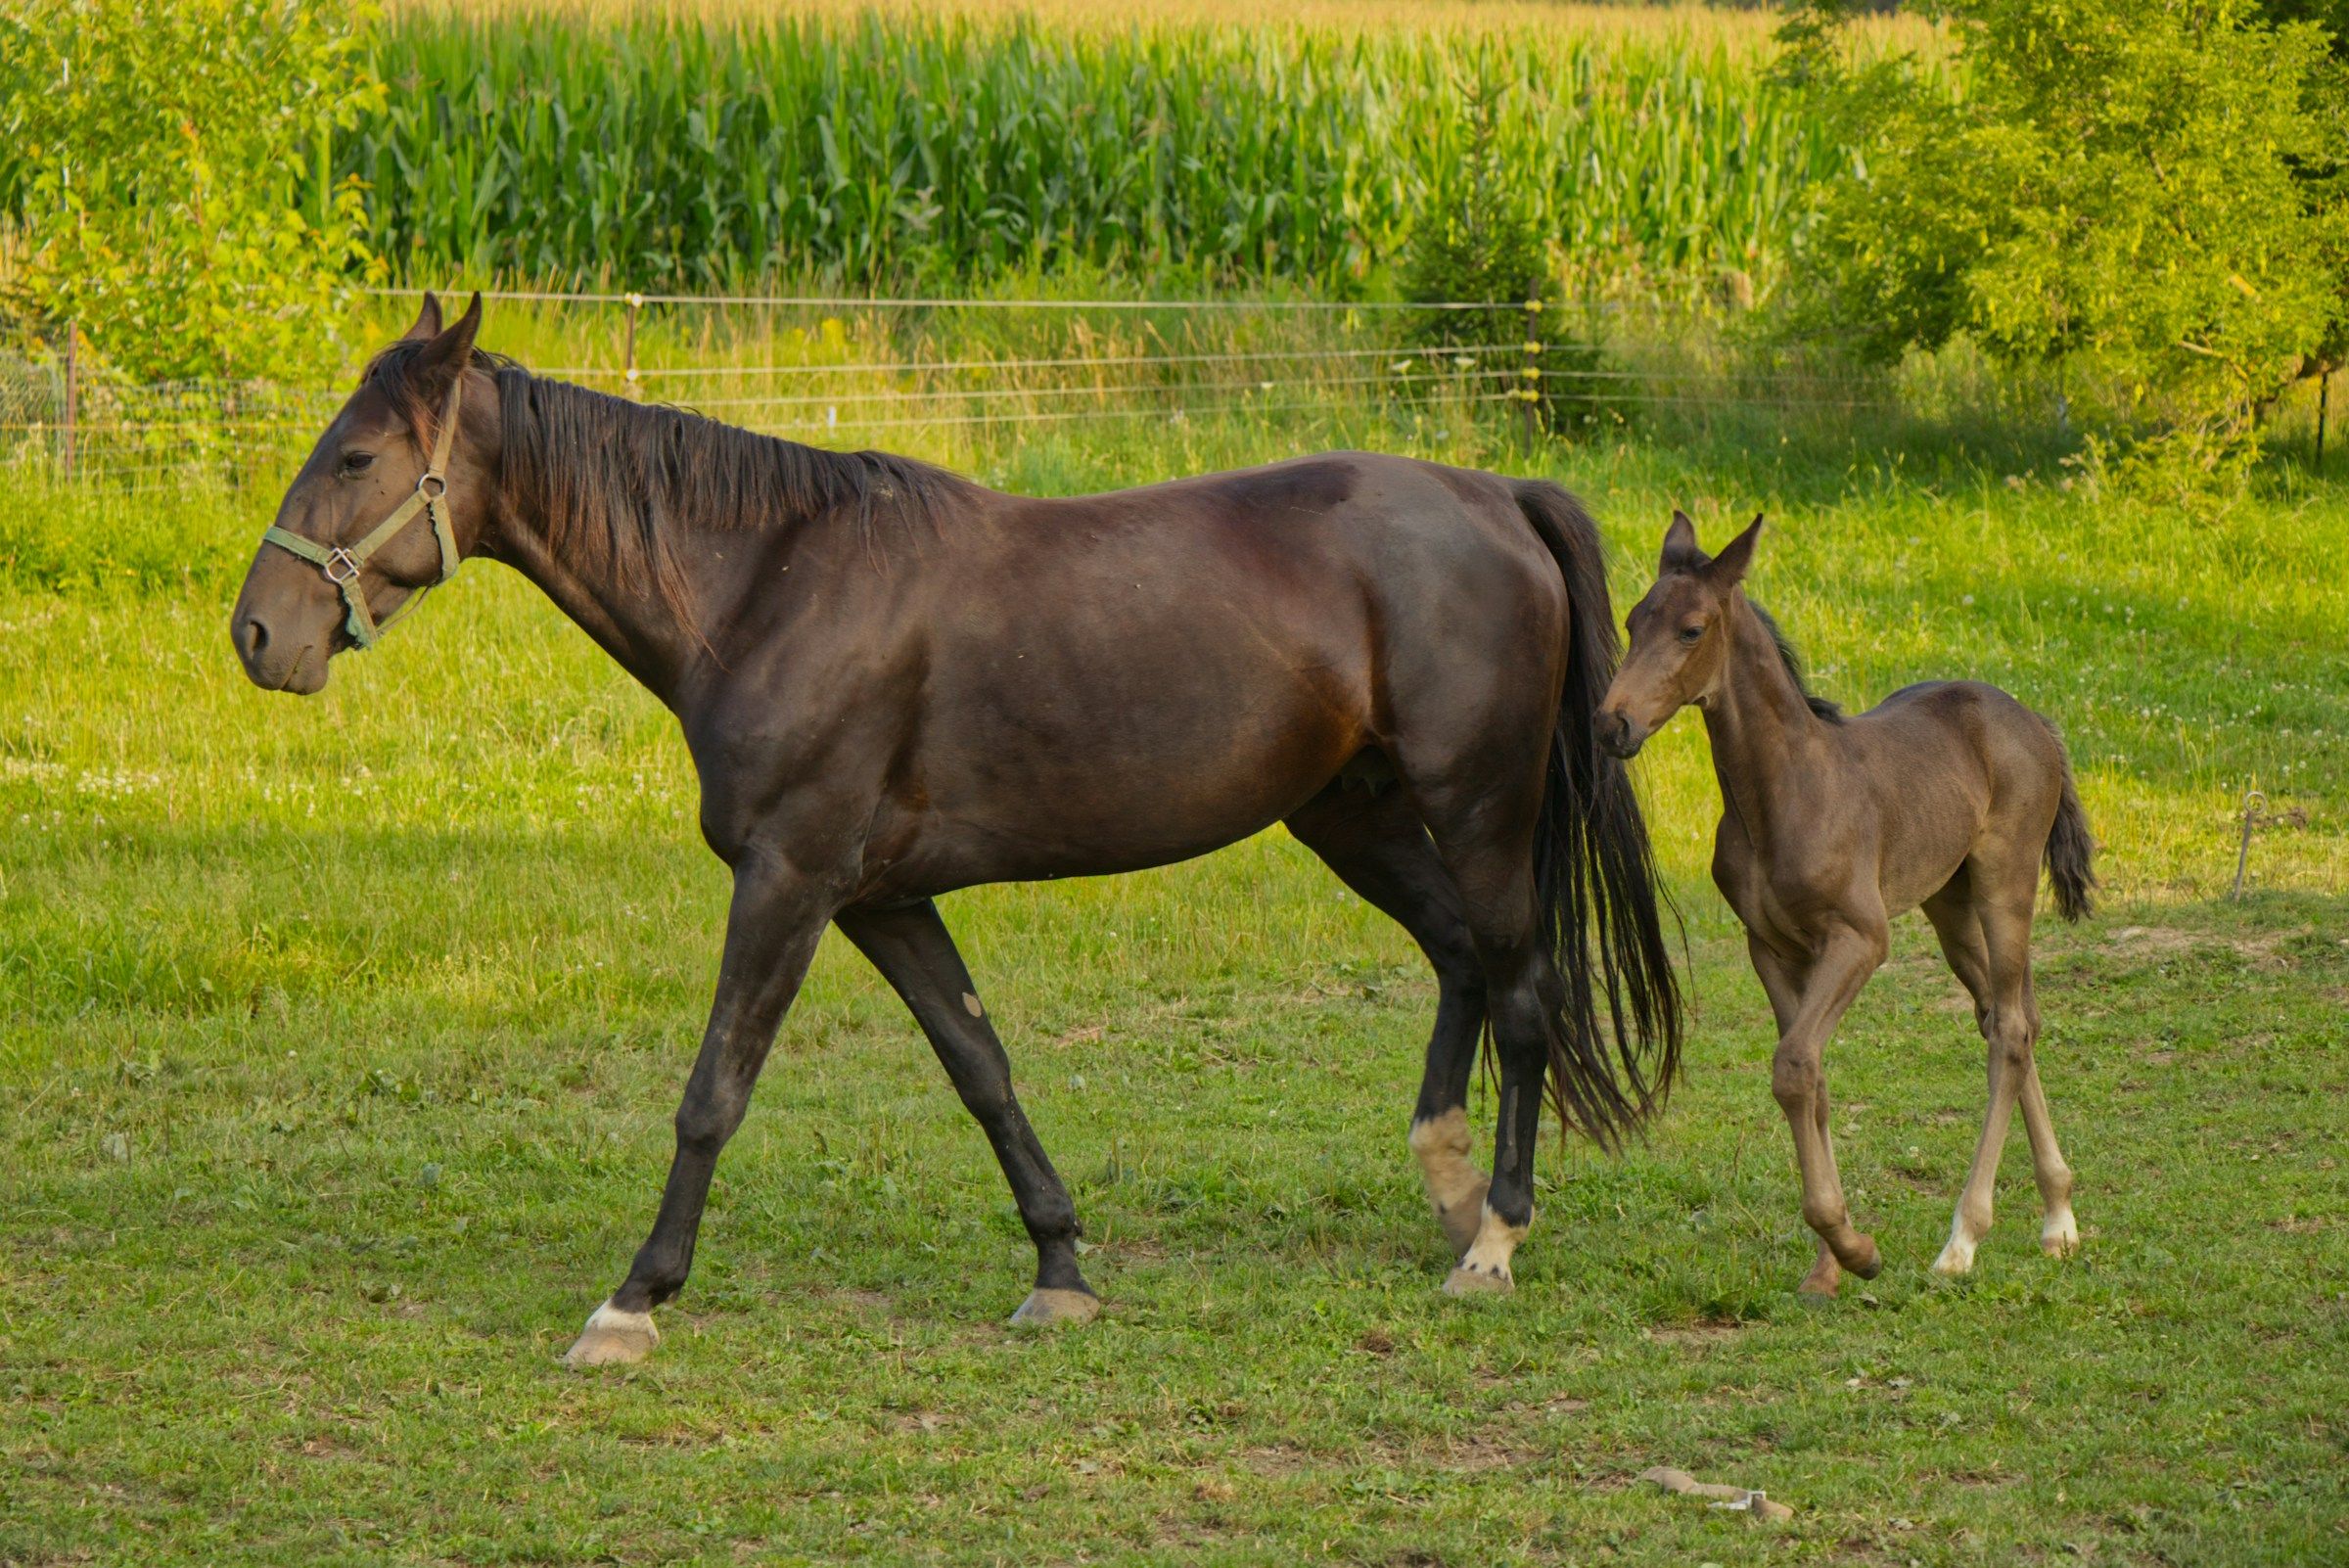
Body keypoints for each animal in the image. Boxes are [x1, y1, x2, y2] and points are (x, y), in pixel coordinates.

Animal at [230, 293, 1682, 1366]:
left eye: (356, 457)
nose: (257, 634)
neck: (766, 585)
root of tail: (1496, 495)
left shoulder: (790, 880)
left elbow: (714, 1092)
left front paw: (632, 1300)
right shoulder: (879, 898)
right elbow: (982, 1068)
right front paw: (1062, 1267)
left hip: (1476, 809)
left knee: (1526, 994)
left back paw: (1493, 1241)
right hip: (1352, 813)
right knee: (1461, 960)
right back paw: (1449, 1192)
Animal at [1595, 510, 2093, 1296]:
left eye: (1692, 630)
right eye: (1633, 620)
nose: (1611, 725)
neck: (1784, 792)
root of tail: (2037, 723)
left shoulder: (1860, 938)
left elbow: (1795, 1064)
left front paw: (1855, 1249)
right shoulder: (1770, 946)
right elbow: (1812, 1078)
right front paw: (1831, 1263)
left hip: (2003, 882)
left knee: (2012, 1029)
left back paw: (1964, 1239)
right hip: (1948, 904)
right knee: (2006, 1016)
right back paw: (2057, 1218)